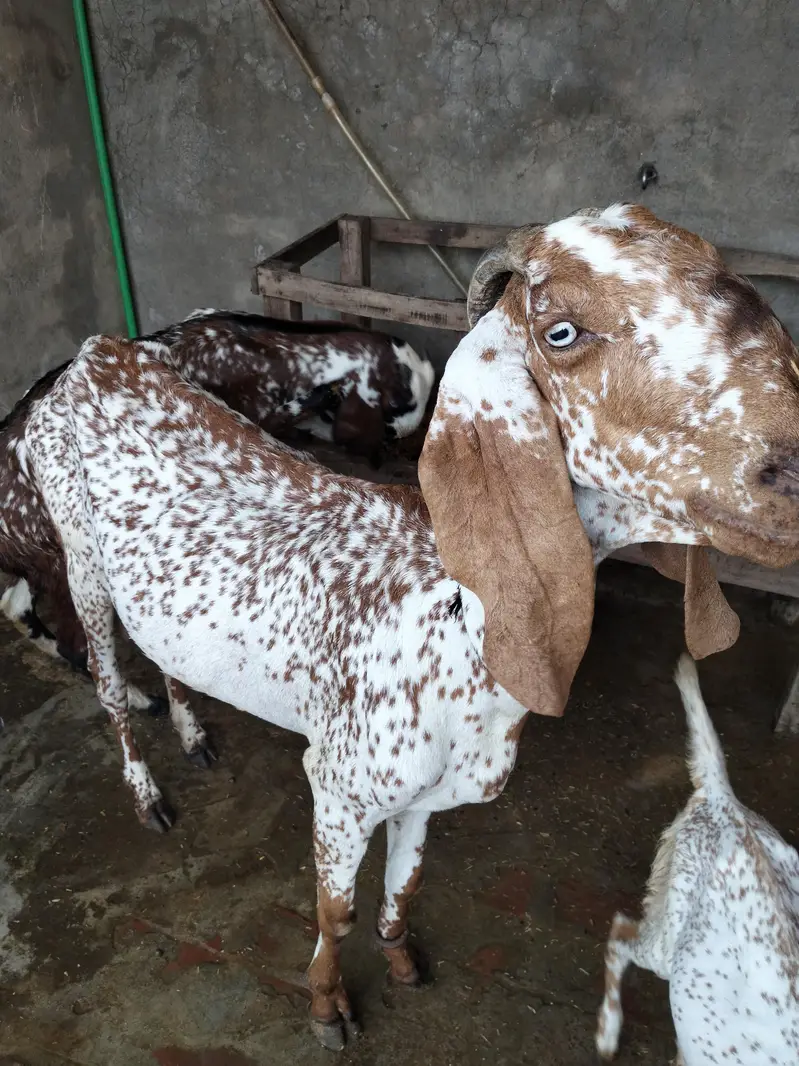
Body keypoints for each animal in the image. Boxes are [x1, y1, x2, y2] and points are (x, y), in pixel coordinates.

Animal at [0, 312, 434, 676]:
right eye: (391, 422)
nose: (386, 453)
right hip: (66, 558)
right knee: (73, 642)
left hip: (44, 563)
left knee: (18, 608)